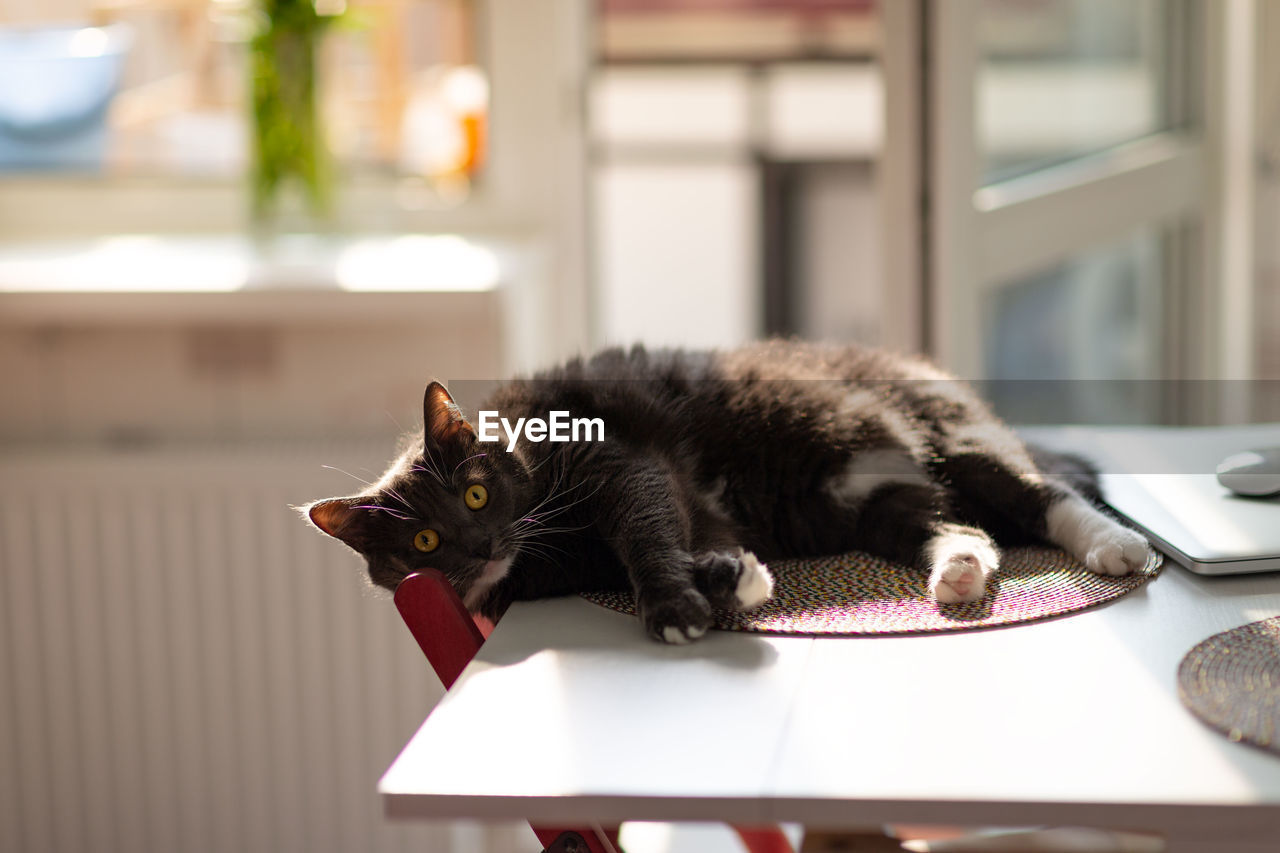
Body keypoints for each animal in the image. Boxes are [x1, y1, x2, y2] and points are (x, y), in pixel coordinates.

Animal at [302, 338, 1152, 637]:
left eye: (475, 493)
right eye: (423, 540)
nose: (479, 544)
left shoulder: (620, 458)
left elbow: (645, 527)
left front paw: (675, 609)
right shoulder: (651, 523)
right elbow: (684, 534)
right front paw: (730, 577)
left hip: (948, 436)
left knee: (1041, 495)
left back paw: (1116, 546)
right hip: (874, 500)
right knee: (962, 527)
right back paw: (961, 573)